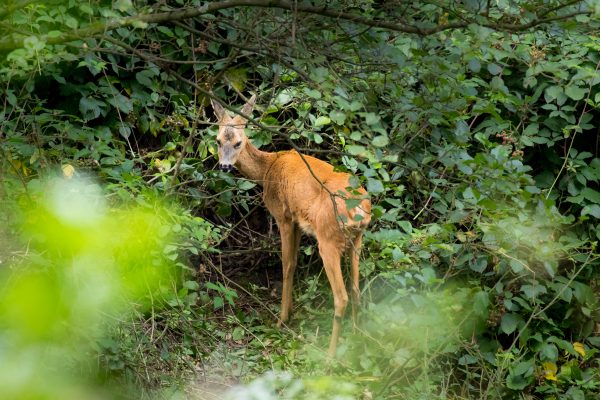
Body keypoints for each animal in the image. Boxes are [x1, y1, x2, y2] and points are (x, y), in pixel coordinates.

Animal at [211, 94, 370, 356]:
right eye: (217, 140)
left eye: (238, 142)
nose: (224, 166)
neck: (268, 168)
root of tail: (359, 208)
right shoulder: (297, 221)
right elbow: (293, 262)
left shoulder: (283, 215)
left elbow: (287, 264)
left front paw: (282, 318)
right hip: (357, 239)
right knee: (356, 290)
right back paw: (357, 341)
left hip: (328, 238)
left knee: (342, 296)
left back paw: (330, 356)